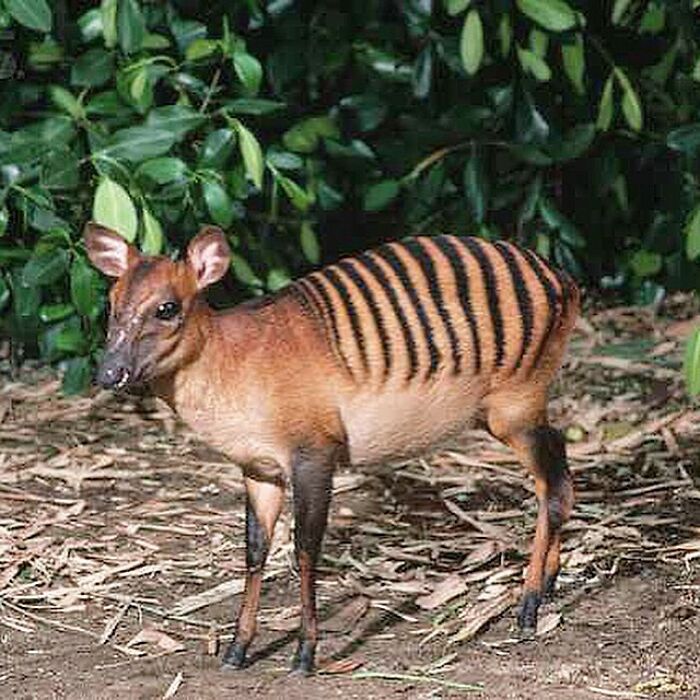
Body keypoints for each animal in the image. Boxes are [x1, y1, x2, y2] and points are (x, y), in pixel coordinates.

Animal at [84, 222, 579, 674]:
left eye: (167, 308)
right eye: (111, 305)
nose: (108, 374)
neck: (235, 362)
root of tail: (562, 279)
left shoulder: (314, 454)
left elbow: (305, 549)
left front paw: (305, 653)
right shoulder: (258, 469)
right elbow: (255, 549)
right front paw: (237, 649)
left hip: (515, 402)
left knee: (553, 482)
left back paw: (529, 605)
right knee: (559, 471)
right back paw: (549, 583)